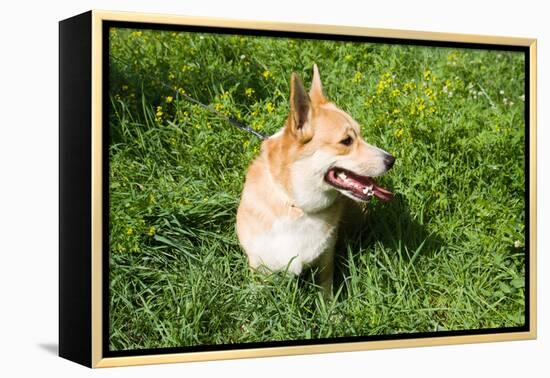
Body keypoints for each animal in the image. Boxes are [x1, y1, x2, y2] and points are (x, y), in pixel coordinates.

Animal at [237, 64, 396, 292]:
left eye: (360, 134)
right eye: (346, 141)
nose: (391, 160)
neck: (297, 206)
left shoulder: (326, 259)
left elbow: (325, 288)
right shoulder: (258, 265)